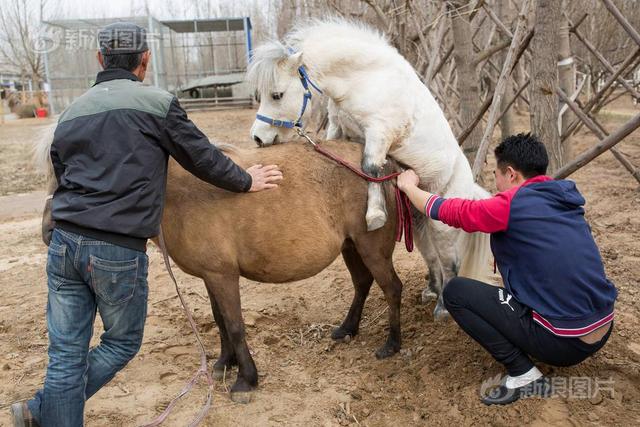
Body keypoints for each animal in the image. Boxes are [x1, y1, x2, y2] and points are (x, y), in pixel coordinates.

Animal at [37, 138, 402, 404]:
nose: (48, 231)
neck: (186, 194)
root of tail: (383, 168)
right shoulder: (211, 276)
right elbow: (221, 322)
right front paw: (225, 364)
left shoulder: (223, 276)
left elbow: (236, 325)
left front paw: (245, 380)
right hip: (351, 247)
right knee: (363, 283)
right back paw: (347, 329)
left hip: (371, 248)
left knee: (391, 288)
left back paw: (392, 344)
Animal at [249, 18, 490, 318]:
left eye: (277, 95)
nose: (258, 138)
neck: (368, 79)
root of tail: (470, 188)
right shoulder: (339, 129)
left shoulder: (379, 134)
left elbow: (370, 166)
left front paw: (375, 215)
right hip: (418, 222)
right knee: (432, 257)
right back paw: (430, 291)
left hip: (441, 225)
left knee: (450, 263)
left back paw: (443, 308)